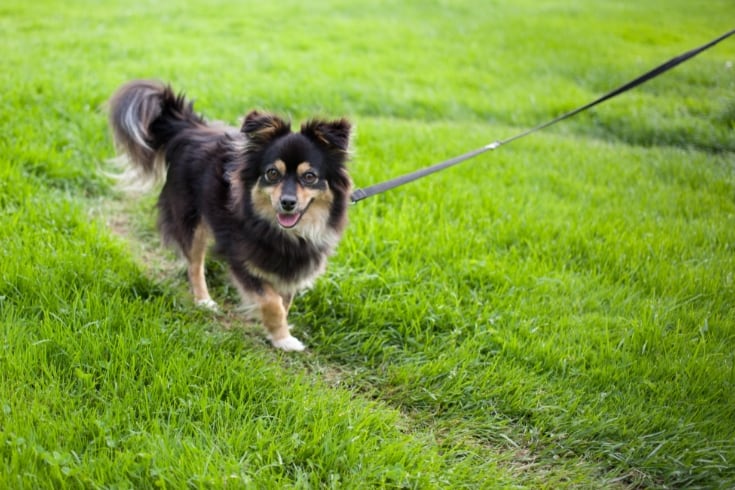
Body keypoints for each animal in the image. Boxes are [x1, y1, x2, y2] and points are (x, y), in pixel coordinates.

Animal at [106, 78, 354, 350]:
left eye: (309, 177)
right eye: (272, 173)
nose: (287, 202)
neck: (287, 232)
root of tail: (190, 129)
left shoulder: (290, 268)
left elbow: (284, 302)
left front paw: (281, 334)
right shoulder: (240, 258)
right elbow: (272, 303)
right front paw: (283, 339)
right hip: (193, 222)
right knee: (194, 264)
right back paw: (204, 301)